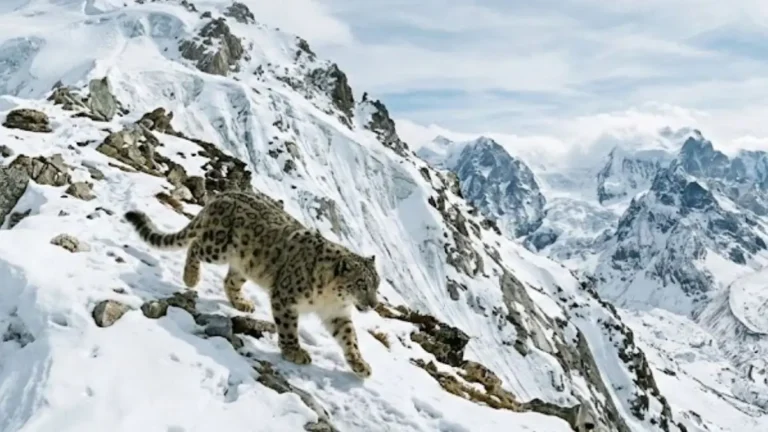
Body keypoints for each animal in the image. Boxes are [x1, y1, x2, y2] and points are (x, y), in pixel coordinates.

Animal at [123, 190, 380, 378]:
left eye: (376, 285)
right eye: (361, 283)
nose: (374, 304)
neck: (329, 298)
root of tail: (224, 194)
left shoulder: (337, 313)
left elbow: (349, 337)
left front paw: (360, 364)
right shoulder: (286, 298)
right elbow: (288, 328)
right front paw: (294, 352)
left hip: (245, 264)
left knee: (230, 280)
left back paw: (242, 303)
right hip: (217, 246)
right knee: (195, 246)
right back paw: (191, 277)